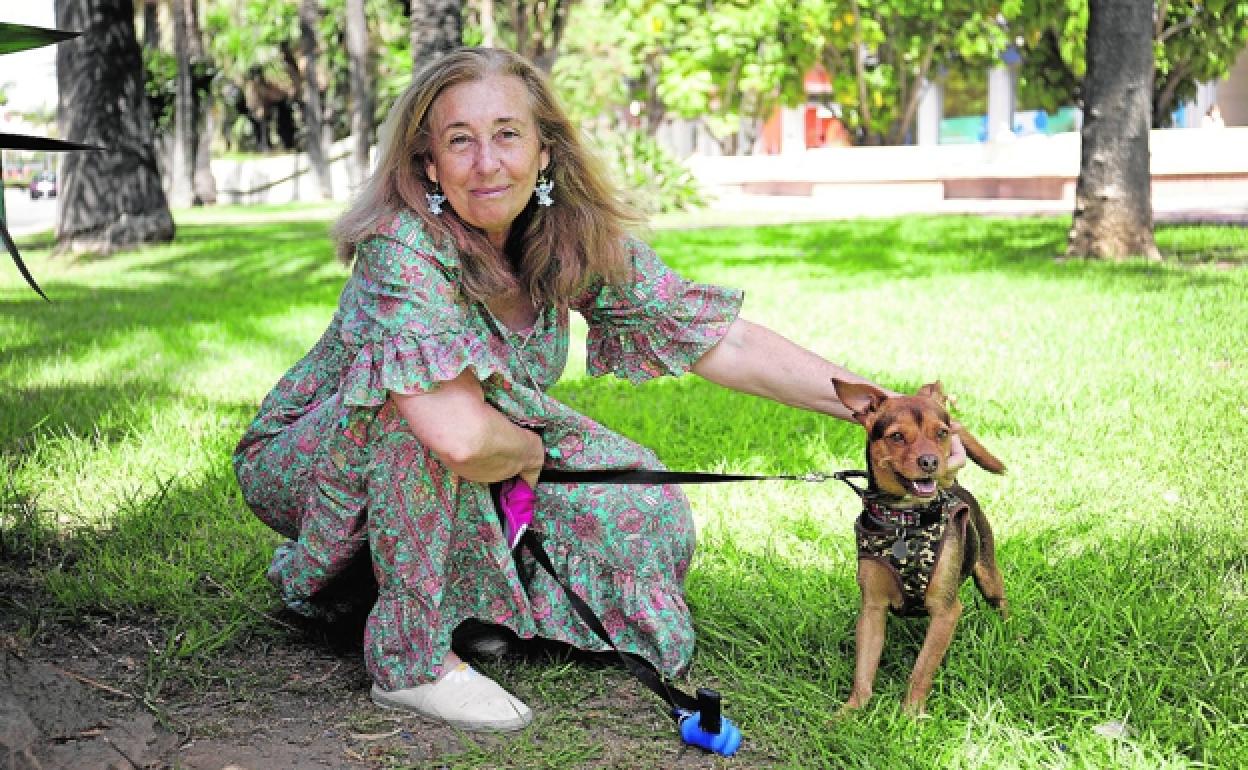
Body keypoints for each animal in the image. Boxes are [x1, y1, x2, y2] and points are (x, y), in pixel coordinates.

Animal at [833, 379, 1008, 713]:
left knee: (1001, 603)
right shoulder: (872, 610)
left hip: (988, 577)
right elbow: (863, 672)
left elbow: (922, 669)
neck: (906, 518)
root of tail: (954, 484)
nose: (930, 462)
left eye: (941, 433)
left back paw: (1011, 635)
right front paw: (850, 712)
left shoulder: (946, 611)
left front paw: (910, 715)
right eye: (897, 436)